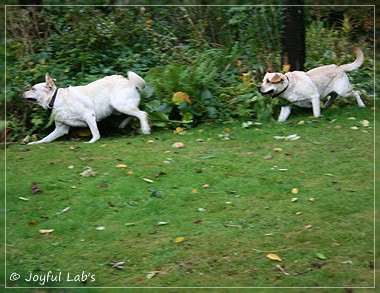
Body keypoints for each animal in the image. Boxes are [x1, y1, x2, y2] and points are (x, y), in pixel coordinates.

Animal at [21, 71, 151, 144]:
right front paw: (34, 143)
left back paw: (145, 130)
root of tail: (131, 82)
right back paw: (123, 125)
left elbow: (95, 133)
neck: (56, 99)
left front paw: (91, 142)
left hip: (120, 105)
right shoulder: (61, 129)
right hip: (117, 109)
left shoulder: (88, 115)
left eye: (33, 89)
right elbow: (46, 139)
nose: (21, 94)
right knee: (133, 115)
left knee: (142, 114)